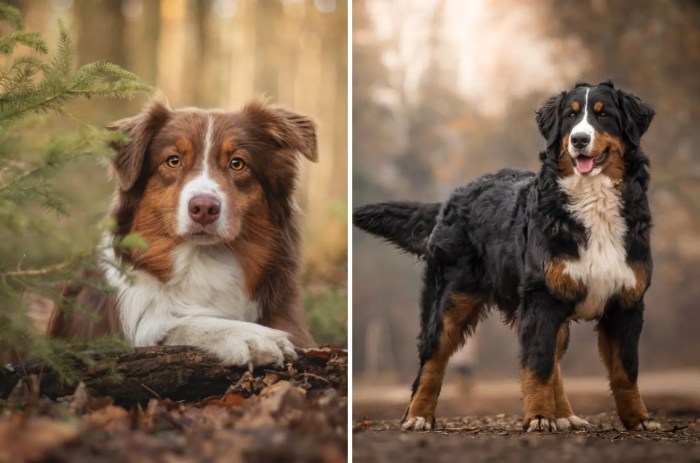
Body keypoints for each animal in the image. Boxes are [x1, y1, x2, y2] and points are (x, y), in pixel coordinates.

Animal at [46, 96, 314, 368]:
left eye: (237, 163)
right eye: (173, 160)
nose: (204, 208)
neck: (202, 261)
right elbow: (177, 325)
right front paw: (251, 335)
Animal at [352, 81, 660, 434]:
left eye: (604, 114)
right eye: (570, 117)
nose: (578, 140)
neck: (592, 202)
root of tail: (454, 197)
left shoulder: (626, 302)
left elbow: (626, 370)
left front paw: (639, 419)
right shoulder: (541, 299)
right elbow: (537, 366)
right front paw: (538, 417)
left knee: (554, 361)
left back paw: (564, 415)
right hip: (451, 299)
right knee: (433, 358)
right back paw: (418, 415)